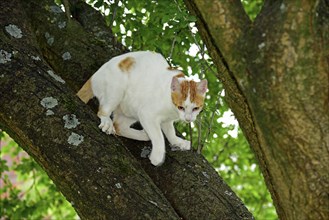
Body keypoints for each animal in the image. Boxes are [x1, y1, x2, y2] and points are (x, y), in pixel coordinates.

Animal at [77, 50, 206, 166]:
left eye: (195, 108)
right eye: (181, 107)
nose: (188, 119)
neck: (172, 109)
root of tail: (94, 77)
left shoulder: (167, 120)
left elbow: (170, 132)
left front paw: (178, 142)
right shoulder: (147, 114)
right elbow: (159, 136)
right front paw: (157, 157)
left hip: (130, 108)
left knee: (119, 126)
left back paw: (143, 135)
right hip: (116, 89)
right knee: (103, 112)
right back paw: (107, 122)